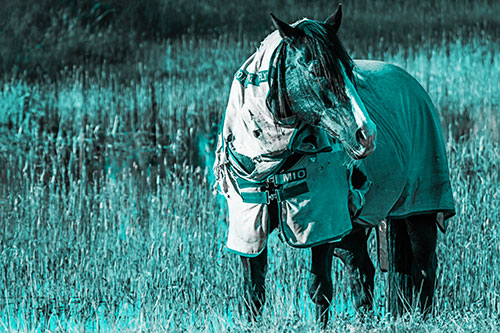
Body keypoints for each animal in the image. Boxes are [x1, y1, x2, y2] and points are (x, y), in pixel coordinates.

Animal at [213, 4, 456, 326]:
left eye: (350, 70)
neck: (274, 162)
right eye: (317, 70)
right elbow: (253, 292)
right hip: (353, 229)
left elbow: (319, 289)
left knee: (426, 268)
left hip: (419, 212)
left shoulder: (322, 226)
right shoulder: (251, 227)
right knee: (362, 271)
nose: (367, 135)